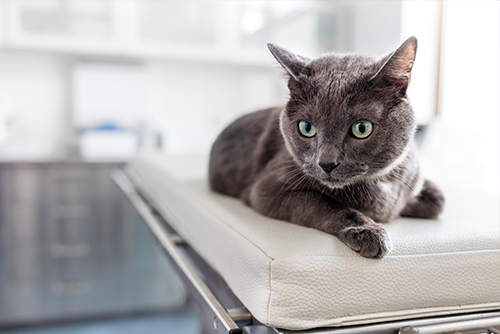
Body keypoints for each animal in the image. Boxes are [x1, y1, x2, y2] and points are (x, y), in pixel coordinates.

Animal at [209, 36, 444, 258]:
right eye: (306, 127)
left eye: (362, 128)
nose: (327, 163)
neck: (380, 184)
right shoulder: (267, 189)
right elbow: (328, 205)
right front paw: (369, 231)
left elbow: (439, 200)